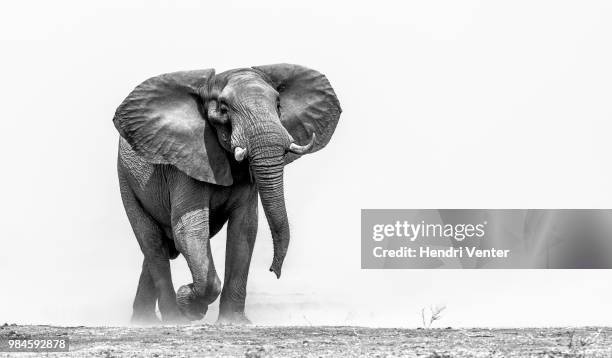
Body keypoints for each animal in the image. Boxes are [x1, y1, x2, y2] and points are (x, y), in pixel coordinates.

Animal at [113, 64, 342, 324]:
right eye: (223, 110)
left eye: (278, 105)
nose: (274, 271)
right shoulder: (186, 160)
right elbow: (189, 230)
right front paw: (188, 303)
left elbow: (244, 230)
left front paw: (234, 322)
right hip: (126, 180)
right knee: (153, 245)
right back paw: (172, 320)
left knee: (159, 249)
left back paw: (144, 322)